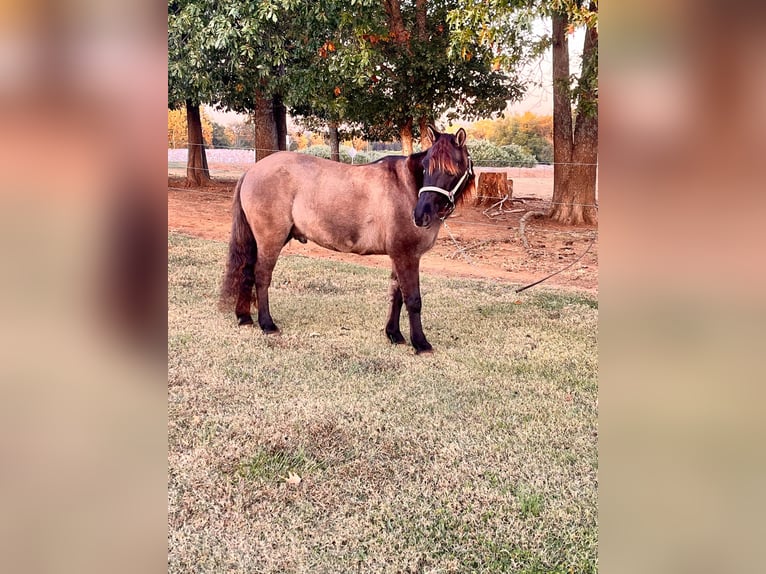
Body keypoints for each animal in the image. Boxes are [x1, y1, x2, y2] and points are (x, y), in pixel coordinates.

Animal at [219, 125, 476, 356]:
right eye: (426, 167)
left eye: (452, 170)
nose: (420, 216)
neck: (407, 188)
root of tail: (252, 171)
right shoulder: (407, 256)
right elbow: (412, 299)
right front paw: (421, 344)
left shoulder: (399, 256)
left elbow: (396, 293)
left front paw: (394, 334)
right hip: (270, 240)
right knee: (261, 276)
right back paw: (267, 324)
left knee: (247, 272)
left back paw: (244, 317)